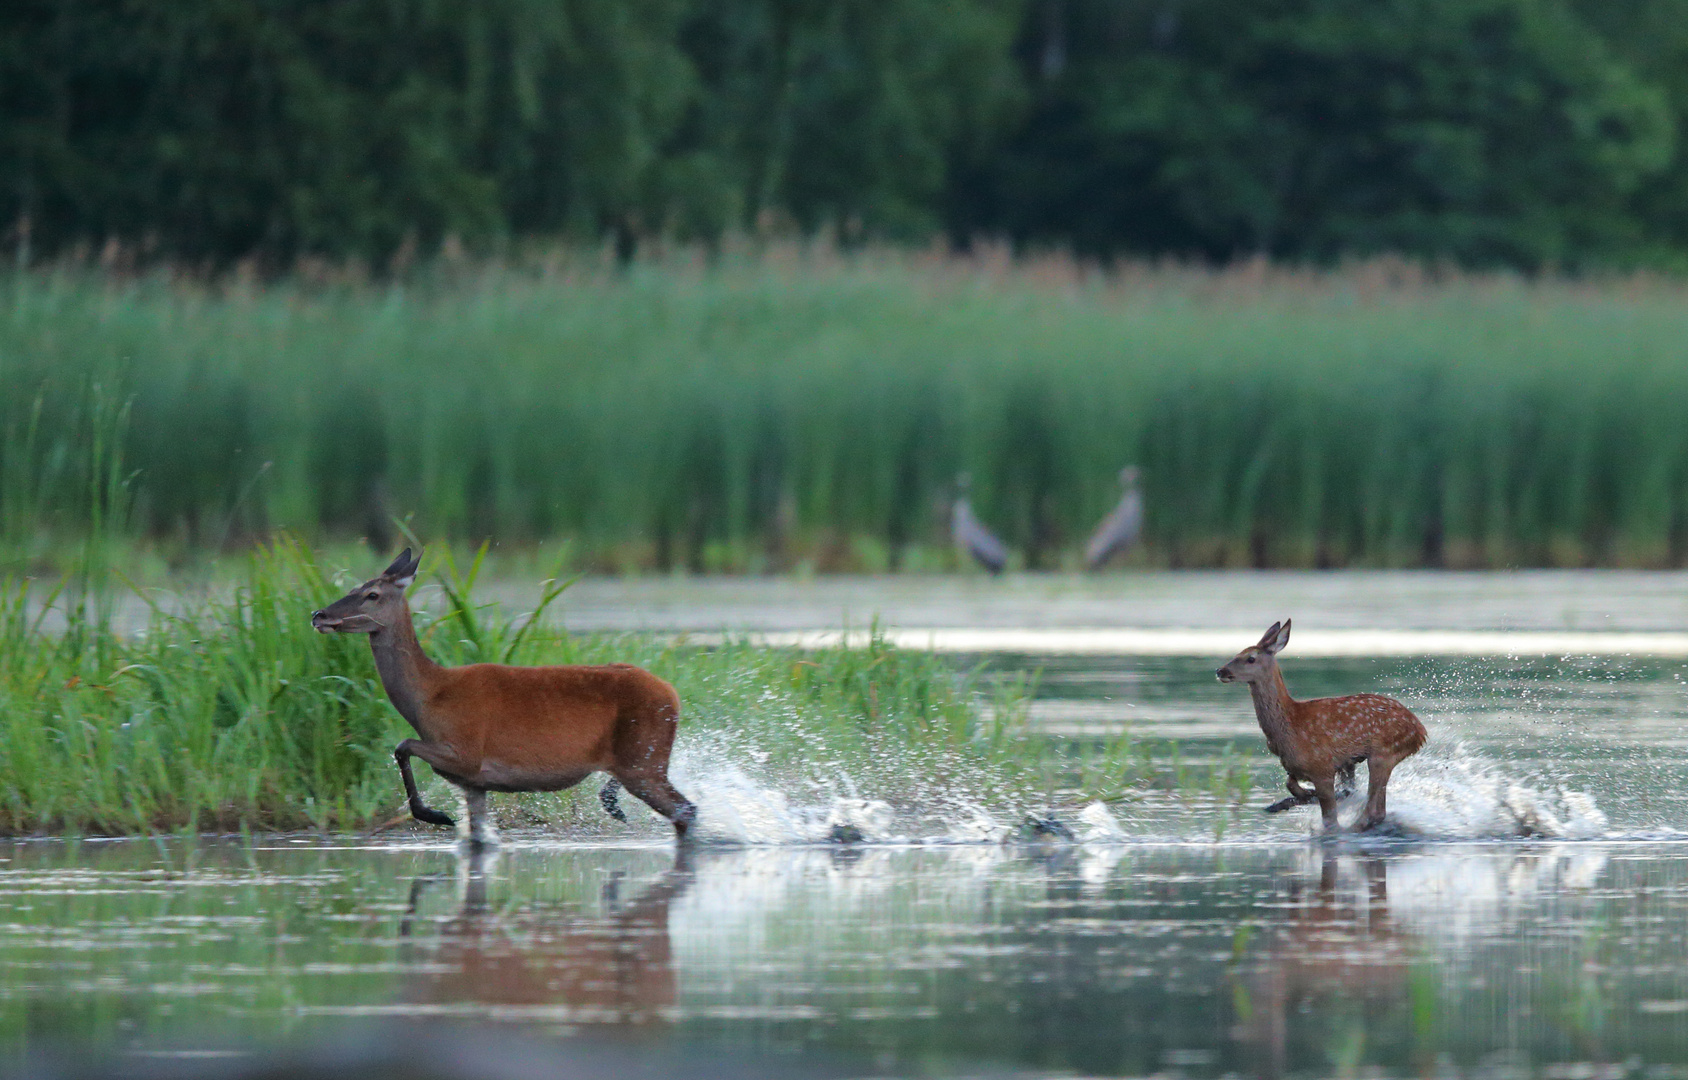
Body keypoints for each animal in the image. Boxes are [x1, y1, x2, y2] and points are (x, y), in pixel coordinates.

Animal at [308, 553, 692, 847]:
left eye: (371, 594)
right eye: (352, 587)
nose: (319, 615)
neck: (428, 696)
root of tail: (672, 694)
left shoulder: (465, 750)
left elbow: (402, 745)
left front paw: (435, 815)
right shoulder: (474, 782)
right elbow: (477, 837)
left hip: (643, 759)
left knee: (686, 811)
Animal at [1215, 621, 1424, 830]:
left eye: (1250, 658)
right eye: (1237, 653)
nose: (1221, 671)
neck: (1290, 726)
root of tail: (1420, 731)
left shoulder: (1321, 766)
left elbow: (1330, 818)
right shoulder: (1311, 766)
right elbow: (1292, 784)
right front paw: (1285, 802)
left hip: (1384, 752)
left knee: (1374, 811)